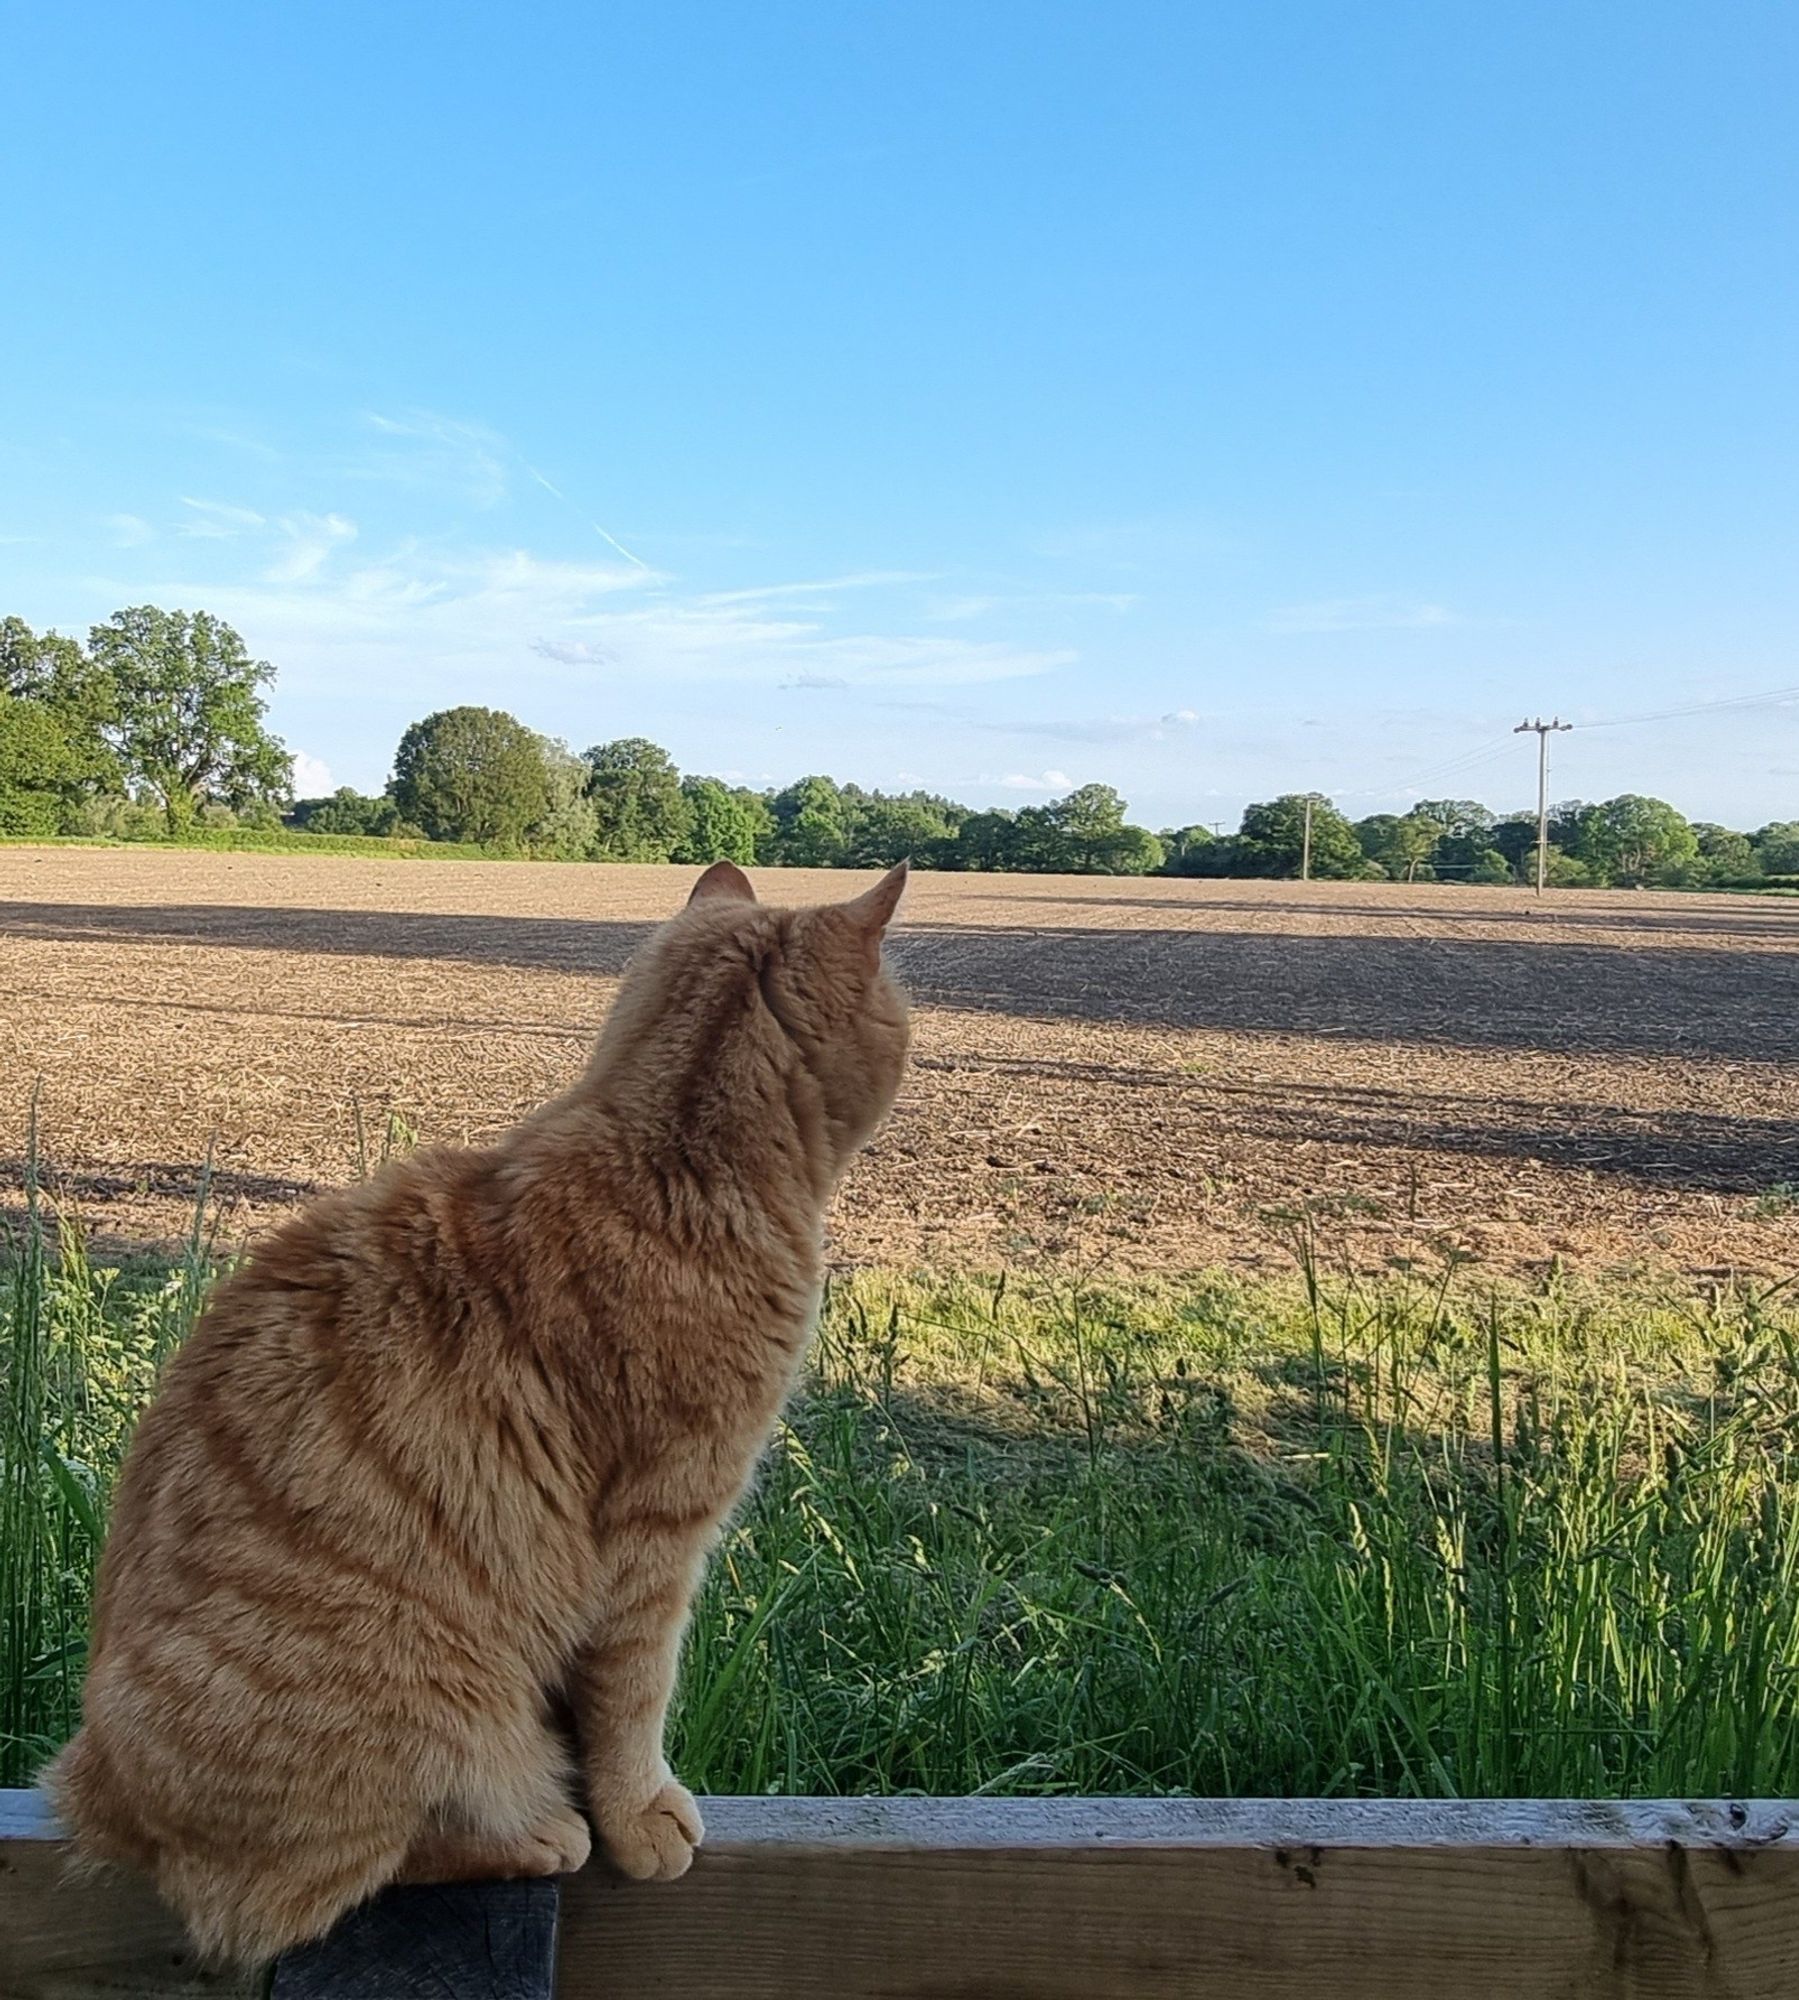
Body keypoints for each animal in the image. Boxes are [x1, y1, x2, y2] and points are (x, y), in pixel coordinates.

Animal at [38, 856, 915, 1952]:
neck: (672, 1156)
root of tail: (93, 1783)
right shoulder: (657, 1535)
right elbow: (634, 1699)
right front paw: (640, 1814)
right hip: (421, 1700)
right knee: (328, 1878)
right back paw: (537, 1831)